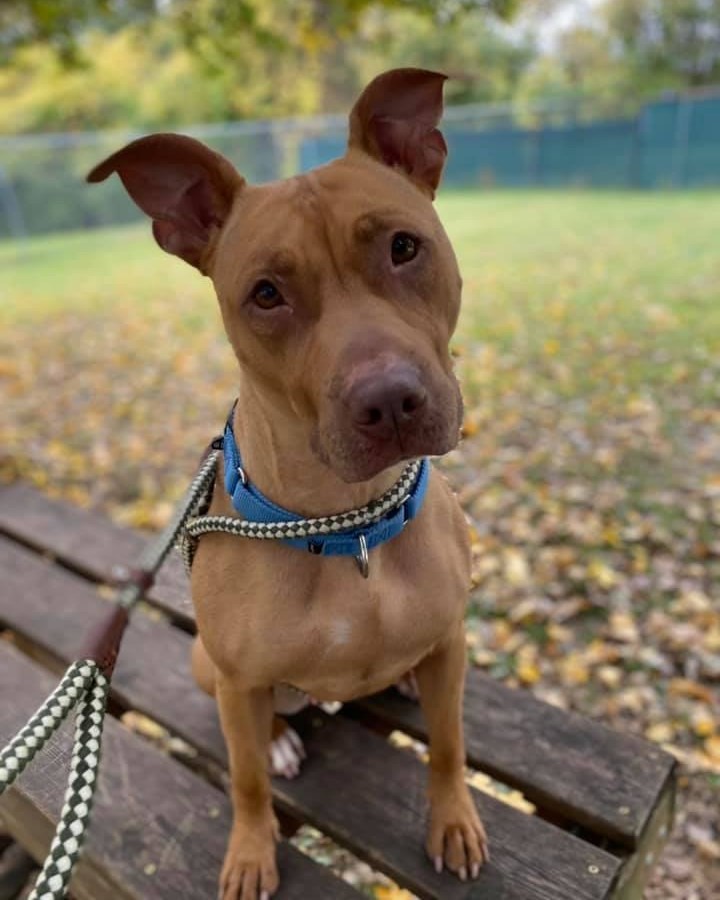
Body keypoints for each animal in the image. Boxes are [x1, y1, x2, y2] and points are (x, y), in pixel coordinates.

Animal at [87, 68, 486, 900]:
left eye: (405, 247)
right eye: (265, 294)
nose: (390, 401)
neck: (348, 525)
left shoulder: (450, 644)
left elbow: (447, 744)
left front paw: (454, 821)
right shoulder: (238, 682)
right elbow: (244, 783)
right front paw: (249, 852)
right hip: (210, 667)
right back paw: (279, 739)